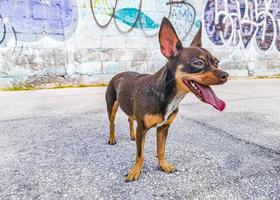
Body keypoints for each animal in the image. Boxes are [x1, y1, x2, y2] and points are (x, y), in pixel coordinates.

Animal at [104, 18, 228, 182]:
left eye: (217, 63)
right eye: (198, 63)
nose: (225, 75)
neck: (168, 95)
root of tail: (119, 74)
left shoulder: (163, 128)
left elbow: (161, 149)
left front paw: (163, 165)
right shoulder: (142, 129)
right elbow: (140, 154)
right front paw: (135, 171)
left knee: (130, 119)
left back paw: (132, 135)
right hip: (111, 107)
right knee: (112, 124)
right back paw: (112, 138)